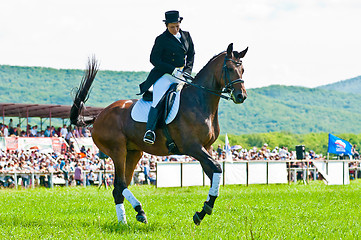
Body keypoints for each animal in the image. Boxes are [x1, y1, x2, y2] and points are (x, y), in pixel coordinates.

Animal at [70, 42, 248, 225]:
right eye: (229, 68)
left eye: (242, 70)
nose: (241, 96)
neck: (199, 101)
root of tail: (99, 116)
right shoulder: (193, 147)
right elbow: (217, 167)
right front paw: (205, 209)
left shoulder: (207, 148)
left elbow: (215, 173)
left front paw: (202, 211)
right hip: (117, 151)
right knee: (120, 184)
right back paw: (138, 210)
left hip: (133, 153)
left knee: (119, 189)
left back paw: (125, 221)